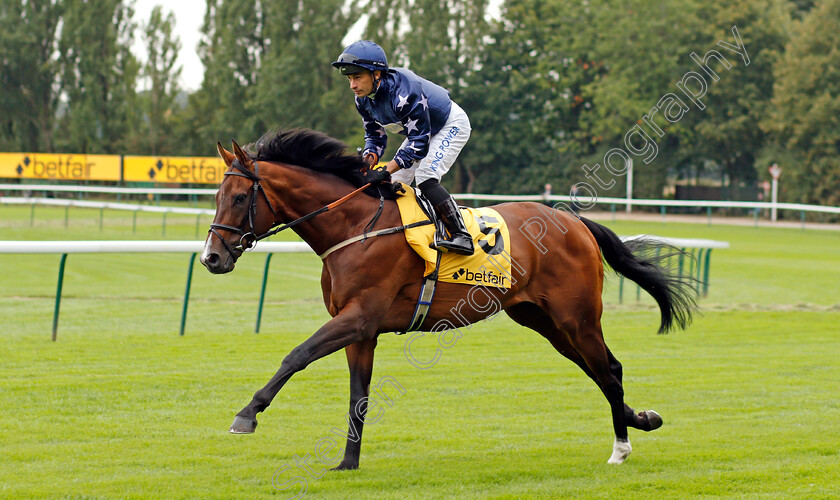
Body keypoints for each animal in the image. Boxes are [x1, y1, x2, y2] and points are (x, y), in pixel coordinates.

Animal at [199, 127, 696, 466]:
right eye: (217, 195)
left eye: (239, 197)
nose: (211, 258)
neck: (356, 226)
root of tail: (575, 222)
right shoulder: (362, 329)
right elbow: (359, 394)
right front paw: (347, 462)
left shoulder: (358, 317)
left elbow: (296, 355)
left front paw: (247, 414)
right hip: (544, 321)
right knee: (600, 370)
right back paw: (642, 419)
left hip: (578, 317)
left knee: (608, 370)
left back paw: (621, 447)